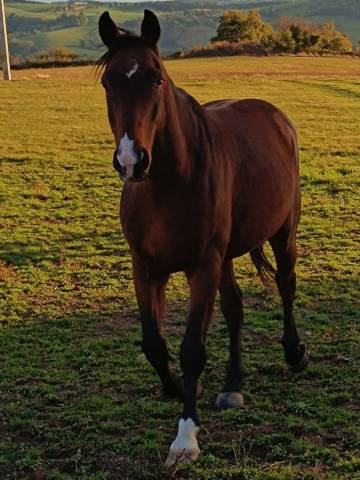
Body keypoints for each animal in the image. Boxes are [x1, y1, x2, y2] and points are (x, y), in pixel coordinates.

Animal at [97, 10, 310, 464]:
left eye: (157, 78)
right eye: (109, 82)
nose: (131, 160)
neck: (167, 184)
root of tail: (275, 117)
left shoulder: (202, 266)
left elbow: (192, 349)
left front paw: (186, 436)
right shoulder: (145, 268)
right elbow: (154, 343)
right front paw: (175, 388)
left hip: (282, 232)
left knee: (286, 286)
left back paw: (294, 352)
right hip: (226, 257)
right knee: (234, 309)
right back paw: (233, 385)